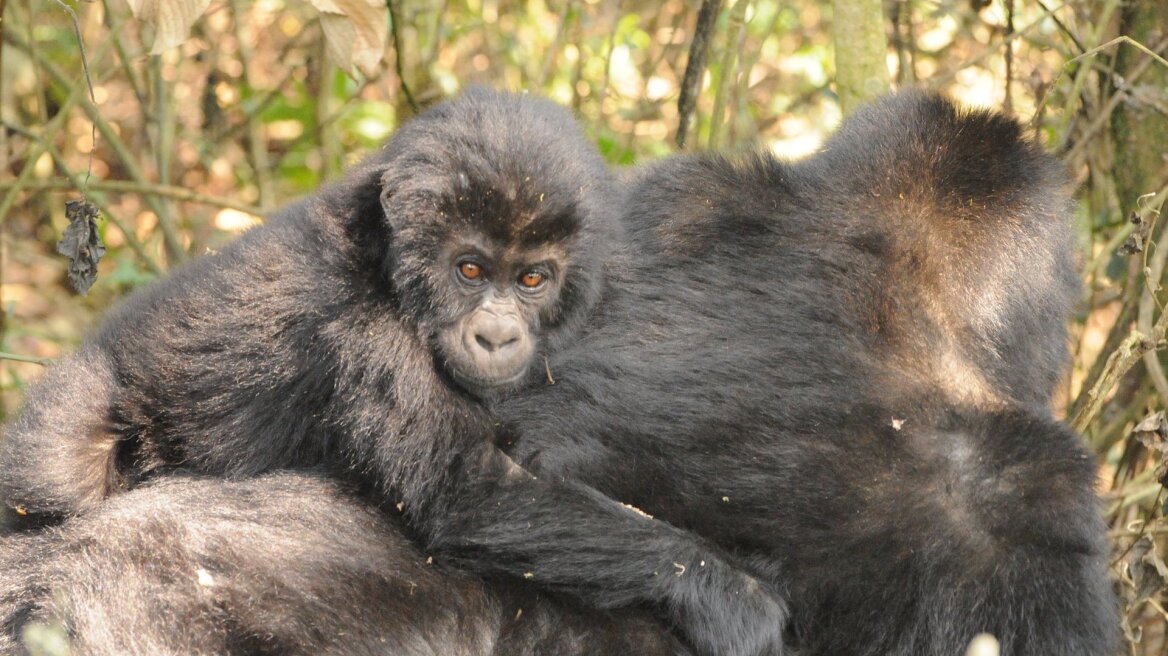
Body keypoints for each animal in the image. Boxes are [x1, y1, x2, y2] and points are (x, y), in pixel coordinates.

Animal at [0, 92, 1111, 653]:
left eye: (531, 277)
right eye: (468, 271)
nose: (498, 331)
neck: (890, 271)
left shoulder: (667, 199)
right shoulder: (1033, 500)